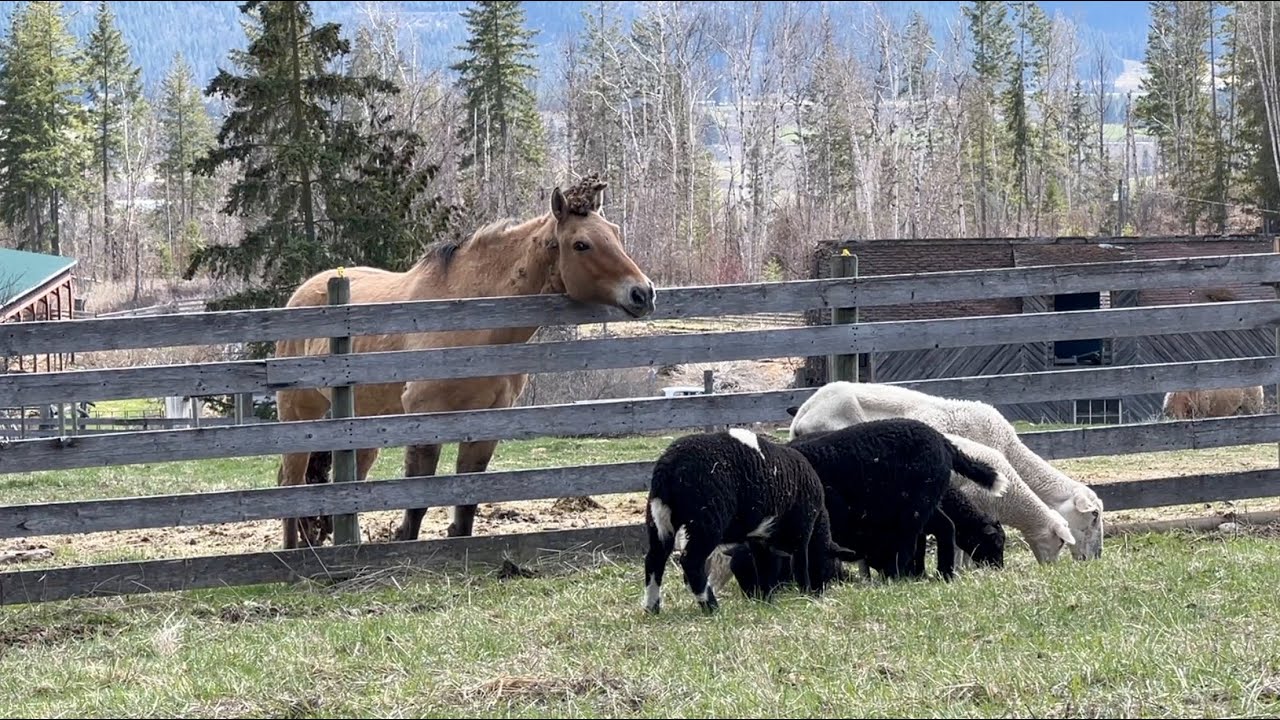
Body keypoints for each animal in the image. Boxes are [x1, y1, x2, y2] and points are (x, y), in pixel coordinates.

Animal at [272, 175, 656, 549]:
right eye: (581, 244)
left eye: (615, 232)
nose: (644, 293)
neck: (467, 322)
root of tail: (303, 292)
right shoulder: (425, 420)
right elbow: (416, 504)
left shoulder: (485, 423)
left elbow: (467, 502)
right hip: (298, 417)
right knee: (290, 484)